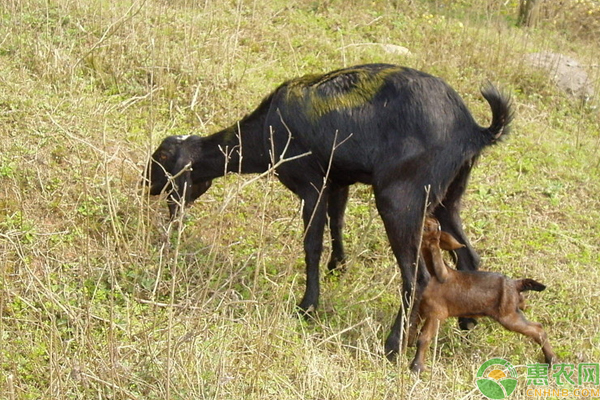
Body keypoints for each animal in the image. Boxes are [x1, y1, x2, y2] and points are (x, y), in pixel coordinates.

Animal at [143, 65, 512, 360]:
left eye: (160, 160)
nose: (148, 187)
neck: (266, 130)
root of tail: (472, 130)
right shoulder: (337, 180)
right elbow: (338, 220)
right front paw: (339, 266)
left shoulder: (310, 184)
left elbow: (311, 245)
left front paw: (308, 306)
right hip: (448, 198)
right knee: (468, 257)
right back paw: (467, 322)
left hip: (401, 200)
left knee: (417, 278)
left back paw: (393, 347)